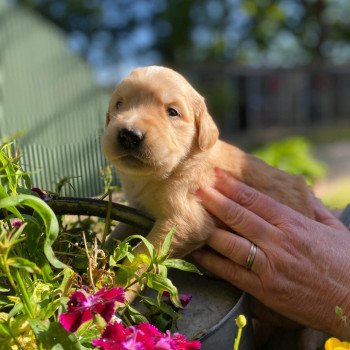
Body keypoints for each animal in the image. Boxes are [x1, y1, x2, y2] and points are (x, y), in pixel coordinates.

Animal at [102, 66, 314, 258]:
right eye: (119, 105)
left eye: (172, 112)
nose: (129, 135)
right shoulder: (138, 210)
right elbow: (119, 231)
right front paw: (102, 253)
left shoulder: (187, 221)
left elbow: (143, 254)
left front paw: (121, 275)